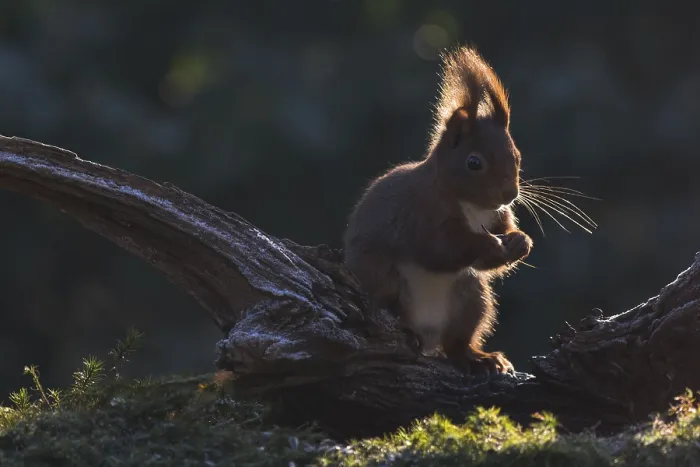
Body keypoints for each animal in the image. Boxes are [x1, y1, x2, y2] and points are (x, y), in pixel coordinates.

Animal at [342, 45, 533, 375]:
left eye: (518, 157)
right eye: (474, 163)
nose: (510, 195)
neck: (473, 206)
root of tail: (427, 332)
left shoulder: (498, 215)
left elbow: (495, 246)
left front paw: (520, 241)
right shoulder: (420, 212)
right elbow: (439, 248)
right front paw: (488, 244)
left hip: (471, 298)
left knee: (456, 343)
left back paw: (479, 357)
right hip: (383, 276)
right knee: (390, 306)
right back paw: (407, 331)